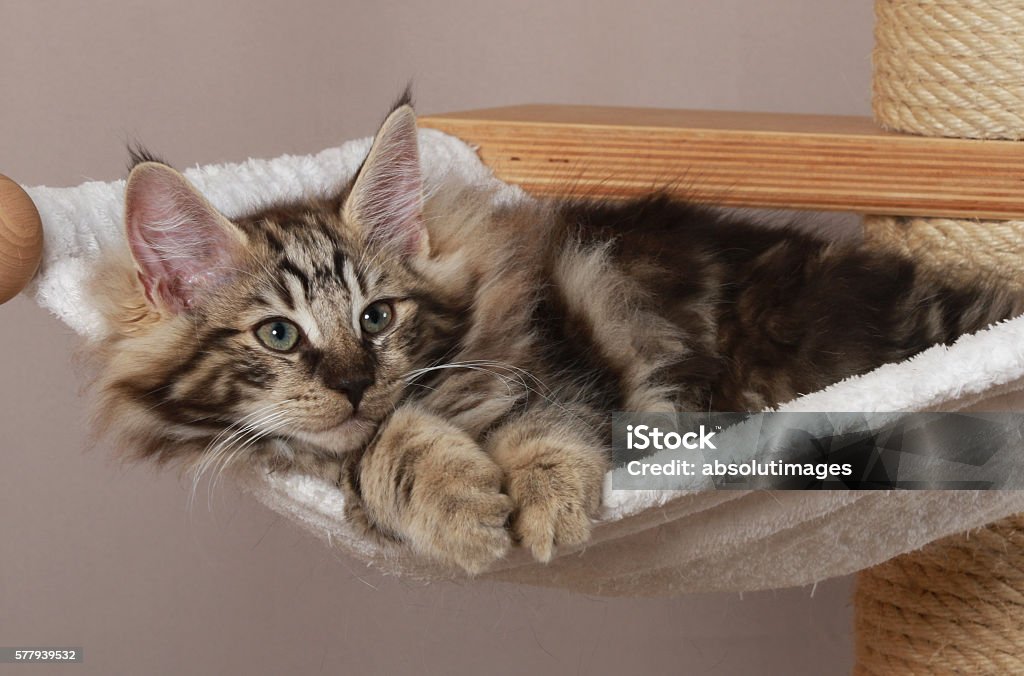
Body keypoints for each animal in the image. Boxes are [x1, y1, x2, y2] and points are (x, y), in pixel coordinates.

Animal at [92, 95, 1019, 569]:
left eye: (376, 317)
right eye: (279, 336)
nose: (354, 383)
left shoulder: (555, 359)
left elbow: (546, 428)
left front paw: (543, 505)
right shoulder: (311, 453)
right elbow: (377, 448)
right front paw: (460, 504)